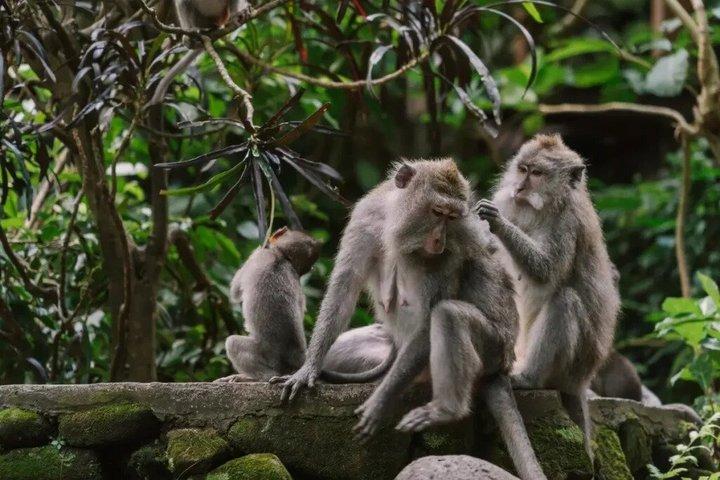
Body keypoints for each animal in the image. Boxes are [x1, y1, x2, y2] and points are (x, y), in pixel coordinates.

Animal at [271, 159, 547, 480]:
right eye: (437, 212)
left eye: (452, 217)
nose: (439, 240)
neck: (395, 223)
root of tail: (503, 365)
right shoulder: (367, 218)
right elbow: (344, 289)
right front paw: (308, 370)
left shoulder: (448, 253)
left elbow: (429, 318)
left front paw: (379, 402)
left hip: (494, 348)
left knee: (448, 316)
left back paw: (445, 408)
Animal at [476, 133, 620, 460]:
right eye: (523, 169)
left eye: (537, 174)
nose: (519, 188)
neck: (542, 207)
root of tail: (581, 382)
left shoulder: (568, 223)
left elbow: (545, 271)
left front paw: (499, 223)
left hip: (574, 366)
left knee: (565, 300)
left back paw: (529, 378)